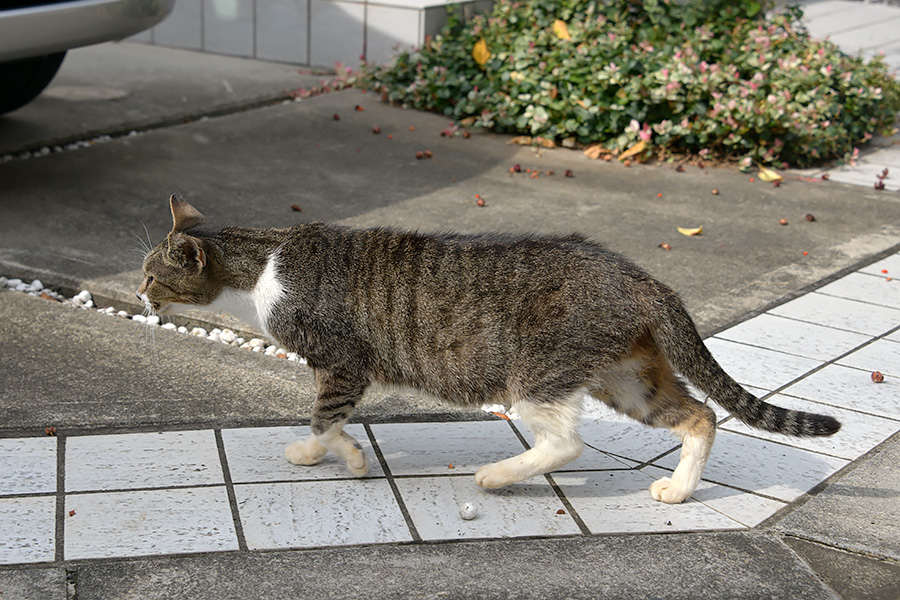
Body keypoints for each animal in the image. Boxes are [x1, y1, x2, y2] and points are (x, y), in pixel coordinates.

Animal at [137, 195, 840, 504]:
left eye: (150, 274)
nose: (139, 293)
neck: (264, 265)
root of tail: (642, 277)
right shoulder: (343, 370)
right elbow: (329, 420)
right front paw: (334, 452)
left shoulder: (342, 362)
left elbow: (324, 417)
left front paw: (333, 456)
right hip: (629, 377)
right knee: (700, 415)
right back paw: (678, 490)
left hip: (538, 373)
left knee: (565, 443)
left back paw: (497, 477)